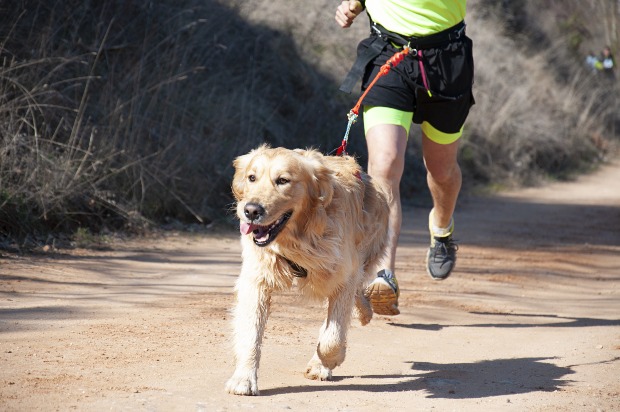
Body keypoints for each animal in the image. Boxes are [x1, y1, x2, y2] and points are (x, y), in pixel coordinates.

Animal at [225, 146, 390, 396]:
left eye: (283, 180)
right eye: (252, 177)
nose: (250, 210)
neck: (298, 237)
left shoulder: (343, 276)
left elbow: (333, 337)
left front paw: (325, 362)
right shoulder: (257, 280)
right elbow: (250, 332)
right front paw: (244, 379)